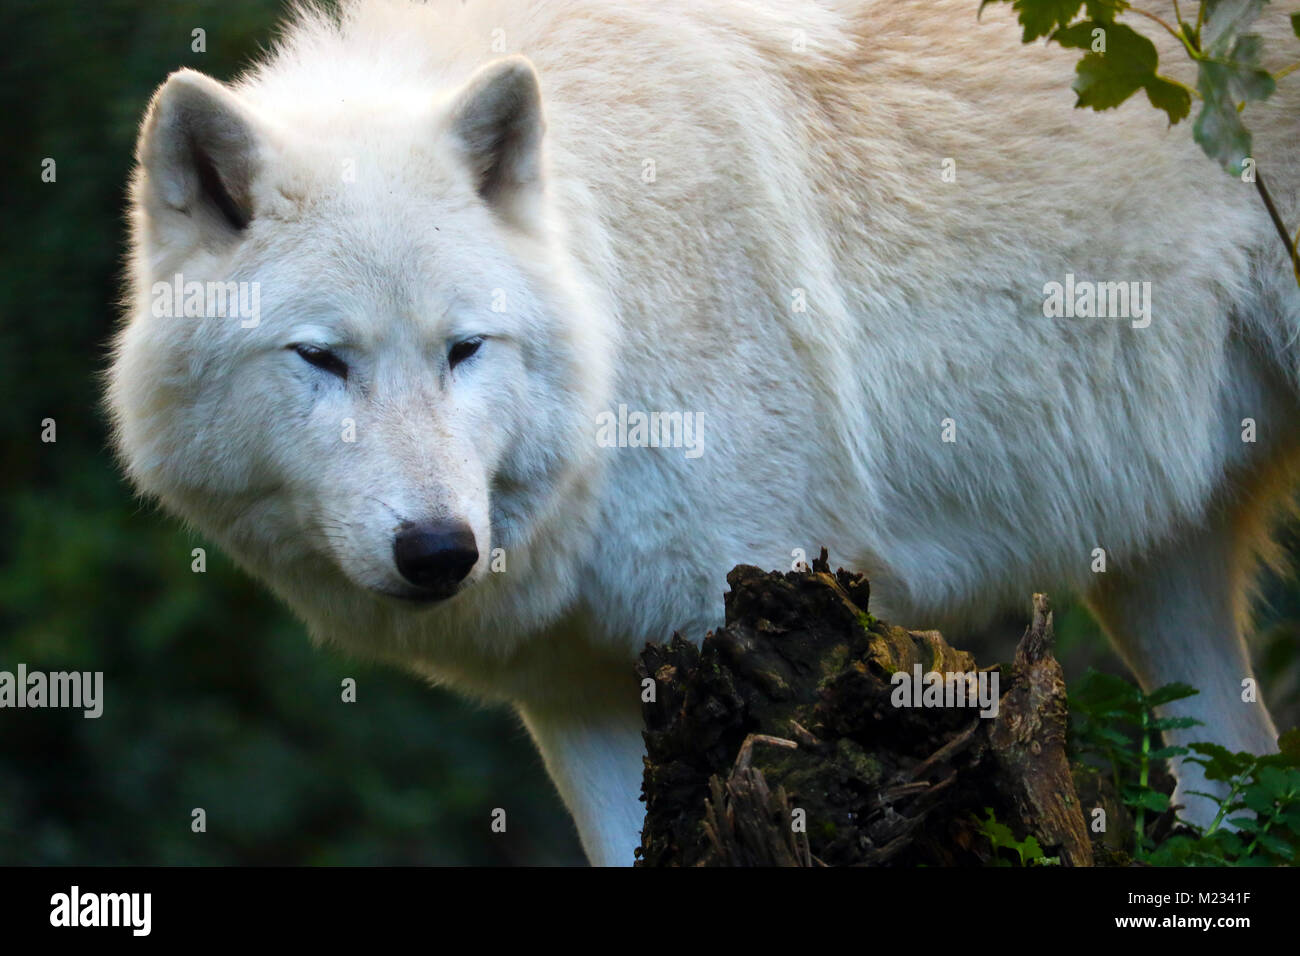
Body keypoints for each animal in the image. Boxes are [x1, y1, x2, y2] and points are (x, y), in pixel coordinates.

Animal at [109, 0, 1300, 868]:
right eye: (322, 359)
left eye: (464, 349)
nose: (440, 550)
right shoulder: (577, 696)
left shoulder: (753, 611)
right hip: (1158, 577)